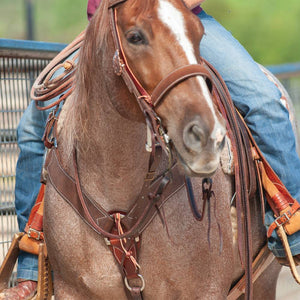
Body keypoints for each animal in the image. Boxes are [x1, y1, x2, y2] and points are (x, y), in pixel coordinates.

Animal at [42, 0, 282, 298]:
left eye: (198, 33)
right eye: (135, 37)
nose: (206, 134)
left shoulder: (205, 290)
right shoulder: (73, 290)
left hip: (264, 280)